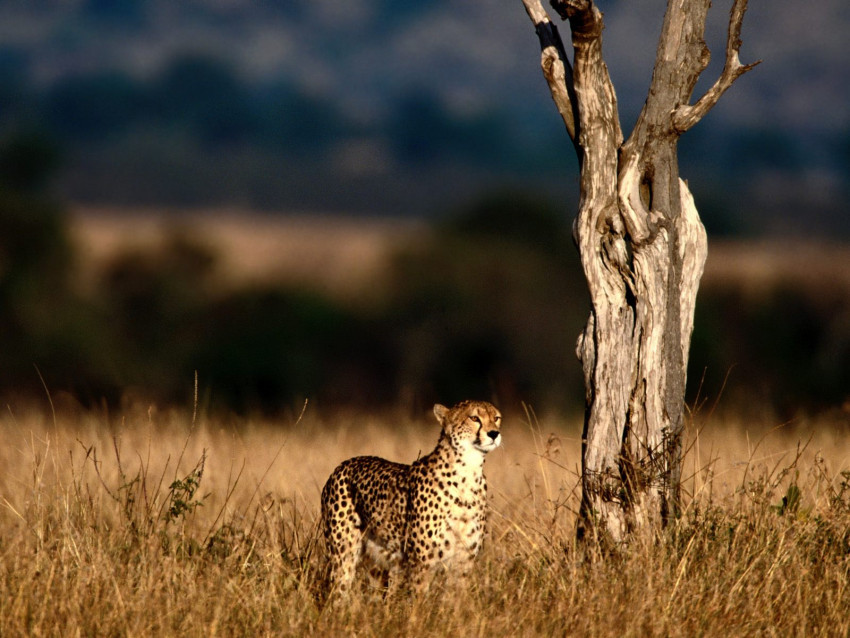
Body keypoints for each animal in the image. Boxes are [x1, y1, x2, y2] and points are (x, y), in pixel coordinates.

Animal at [322, 400, 500, 596]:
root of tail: (343, 464)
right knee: (337, 592)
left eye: (496, 418)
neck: (468, 471)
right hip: (343, 556)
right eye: (474, 418)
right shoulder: (421, 564)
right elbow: (420, 600)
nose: (494, 433)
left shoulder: (463, 562)